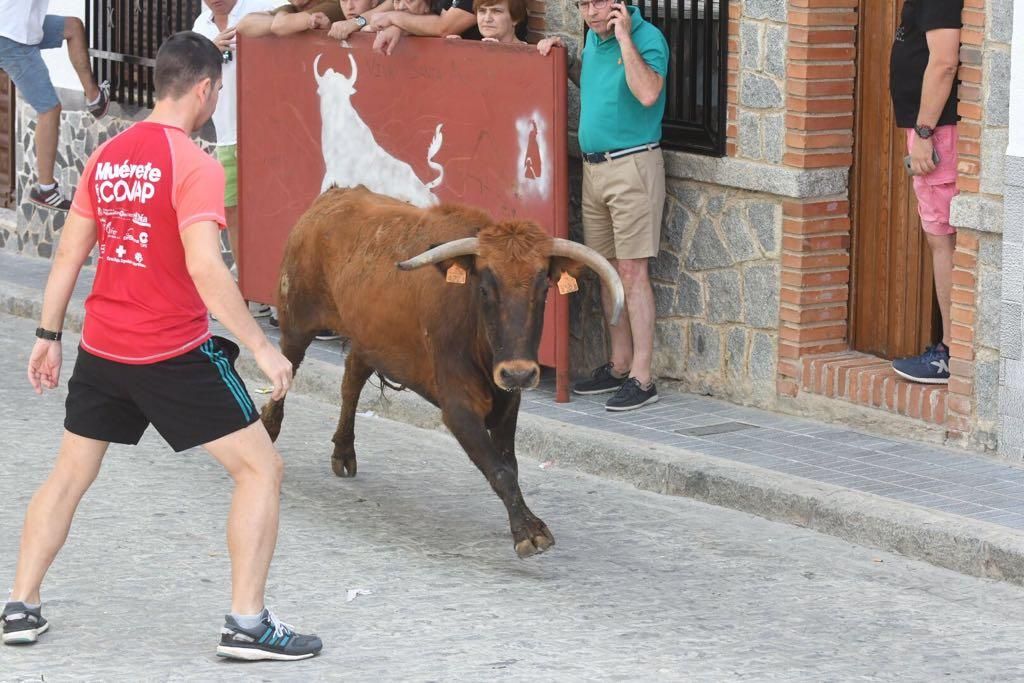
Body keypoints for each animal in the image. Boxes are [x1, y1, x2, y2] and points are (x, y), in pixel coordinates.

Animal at [260, 185, 622, 557]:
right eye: (484, 289)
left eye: (543, 288)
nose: (518, 374)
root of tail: (333, 196)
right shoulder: (459, 407)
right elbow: (500, 470)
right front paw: (528, 531)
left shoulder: (509, 402)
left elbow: (509, 465)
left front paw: (521, 521)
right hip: (297, 321)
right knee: (286, 371)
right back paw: (269, 430)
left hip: (367, 337)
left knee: (351, 381)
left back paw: (344, 451)